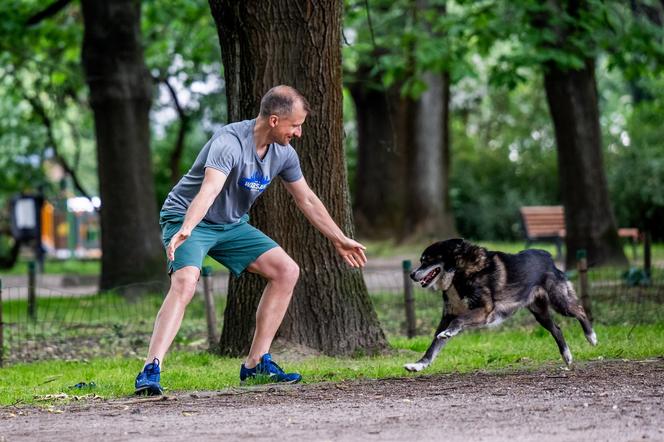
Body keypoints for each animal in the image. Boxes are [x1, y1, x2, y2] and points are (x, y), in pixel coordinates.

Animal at [402, 238, 600, 372]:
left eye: (427, 260)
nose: (411, 275)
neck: (459, 273)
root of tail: (548, 257)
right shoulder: (448, 315)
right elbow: (434, 345)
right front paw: (419, 365)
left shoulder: (483, 311)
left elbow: (457, 322)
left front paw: (450, 332)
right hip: (539, 312)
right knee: (557, 329)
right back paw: (567, 356)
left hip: (559, 301)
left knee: (580, 310)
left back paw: (591, 337)